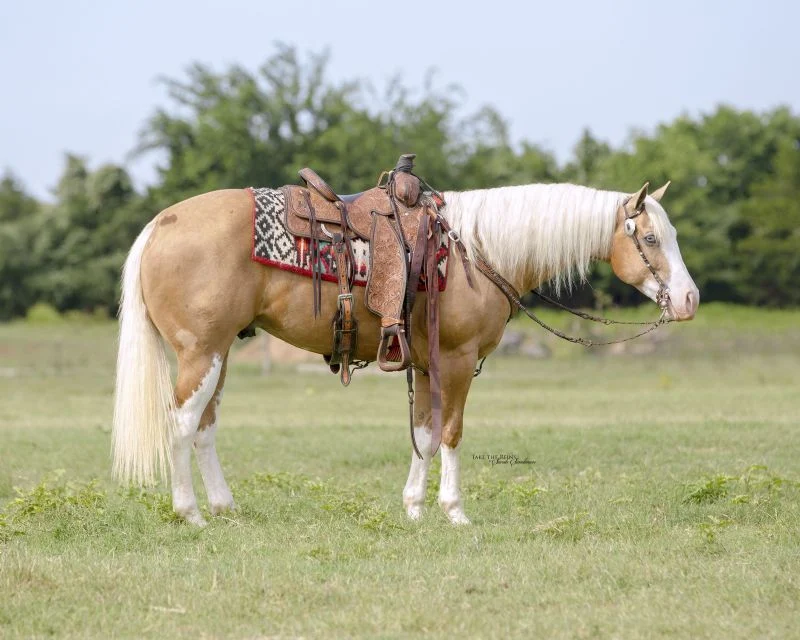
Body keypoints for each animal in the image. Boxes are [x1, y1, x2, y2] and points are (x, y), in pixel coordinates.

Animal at [112, 178, 699, 526]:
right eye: (649, 238)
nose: (689, 299)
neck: (474, 250)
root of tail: (162, 223)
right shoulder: (457, 361)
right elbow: (452, 433)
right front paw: (455, 512)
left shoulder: (426, 364)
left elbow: (424, 434)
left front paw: (415, 509)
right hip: (200, 354)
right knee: (181, 425)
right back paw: (189, 513)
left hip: (220, 355)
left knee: (205, 427)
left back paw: (223, 506)